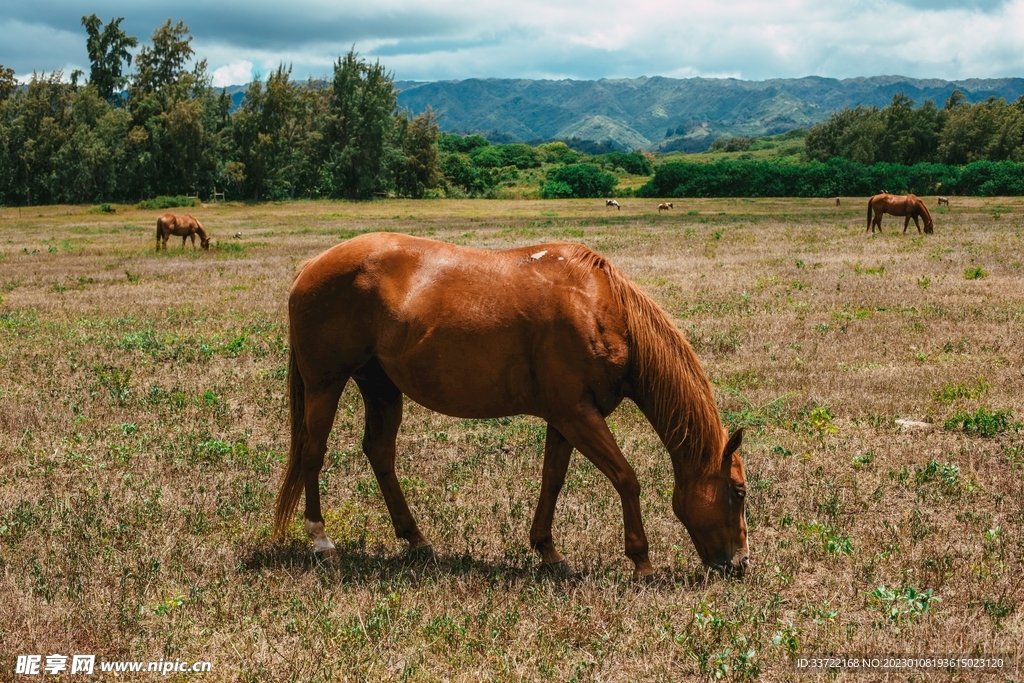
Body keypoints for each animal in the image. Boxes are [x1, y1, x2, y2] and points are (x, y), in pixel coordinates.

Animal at [273, 233, 749, 580]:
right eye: (739, 492)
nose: (741, 564)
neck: (599, 307)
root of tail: (310, 266)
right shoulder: (578, 415)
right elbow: (626, 478)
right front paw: (642, 562)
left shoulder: (565, 418)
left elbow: (552, 480)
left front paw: (549, 552)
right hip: (325, 385)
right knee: (313, 453)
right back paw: (322, 541)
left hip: (382, 389)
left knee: (379, 453)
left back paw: (416, 540)